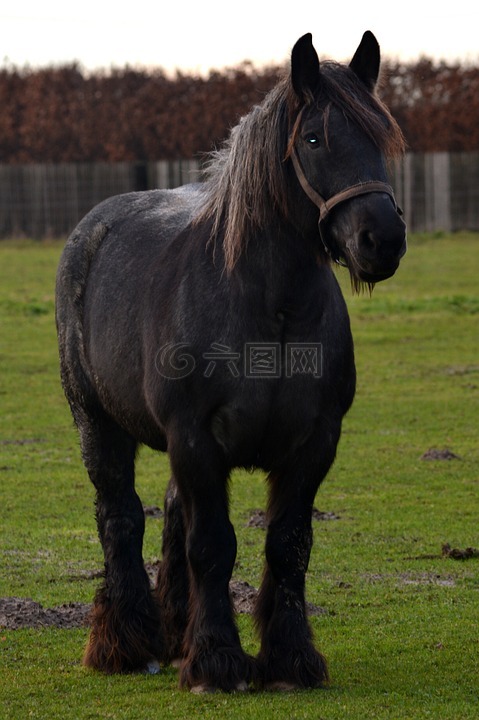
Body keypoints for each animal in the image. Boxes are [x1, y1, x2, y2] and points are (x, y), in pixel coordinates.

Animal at [55, 31, 406, 692]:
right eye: (314, 138)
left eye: (382, 138)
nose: (382, 241)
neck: (270, 310)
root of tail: (92, 227)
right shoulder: (195, 438)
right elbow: (213, 546)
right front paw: (217, 660)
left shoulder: (315, 443)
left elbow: (288, 546)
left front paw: (290, 659)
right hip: (98, 423)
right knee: (121, 516)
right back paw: (127, 643)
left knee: (169, 515)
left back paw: (174, 633)